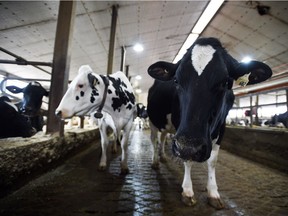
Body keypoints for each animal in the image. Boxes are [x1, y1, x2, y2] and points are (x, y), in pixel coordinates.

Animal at [147, 37, 272, 209]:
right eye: (176, 80)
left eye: (225, 82)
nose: (191, 146)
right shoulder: (182, 132)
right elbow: (187, 158)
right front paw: (187, 191)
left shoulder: (221, 128)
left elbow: (212, 161)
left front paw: (213, 192)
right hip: (152, 120)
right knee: (154, 140)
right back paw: (155, 161)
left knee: (163, 137)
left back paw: (163, 157)